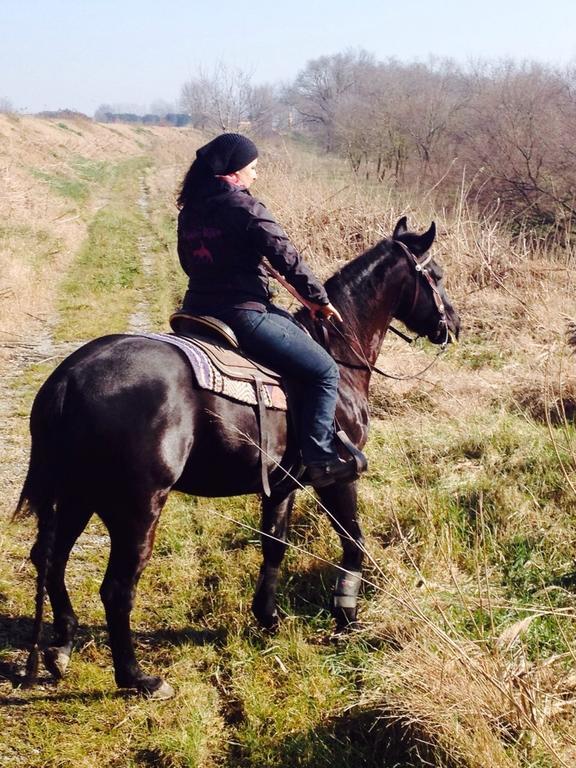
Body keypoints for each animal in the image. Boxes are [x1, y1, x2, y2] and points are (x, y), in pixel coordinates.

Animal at [14, 218, 460, 704]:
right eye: (435, 274)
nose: (454, 325)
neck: (339, 360)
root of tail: (70, 376)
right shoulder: (336, 477)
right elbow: (354, 541)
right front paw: (346, 613)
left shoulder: (282, 485)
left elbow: (275, 545)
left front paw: (268, 617)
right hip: (136, 507)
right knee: (116, 589)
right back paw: (138, 678)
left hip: (78, 493)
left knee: (51, 558)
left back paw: (61, 646)